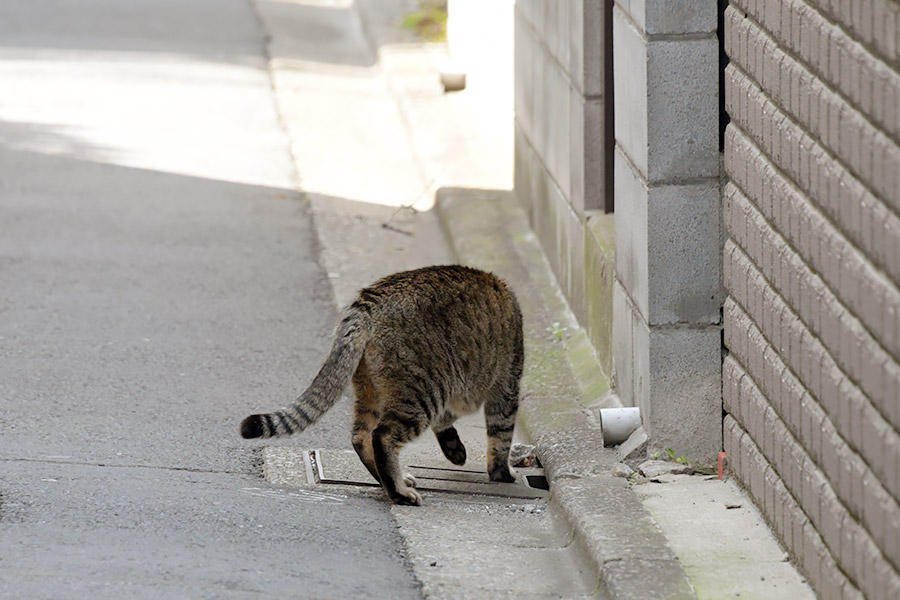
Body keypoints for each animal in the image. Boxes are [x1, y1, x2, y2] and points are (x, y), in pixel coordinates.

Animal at [239, 264, 524, 504]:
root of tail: (368, 304)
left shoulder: (459, 394)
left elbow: (447, 422)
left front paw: (455, 449)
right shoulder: (506, 387)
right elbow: (501, 436)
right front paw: (501, 472)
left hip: (372, 390)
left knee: (360, 436)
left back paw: (389, 481)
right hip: (423, 393)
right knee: (382, 437)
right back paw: (399, 492)